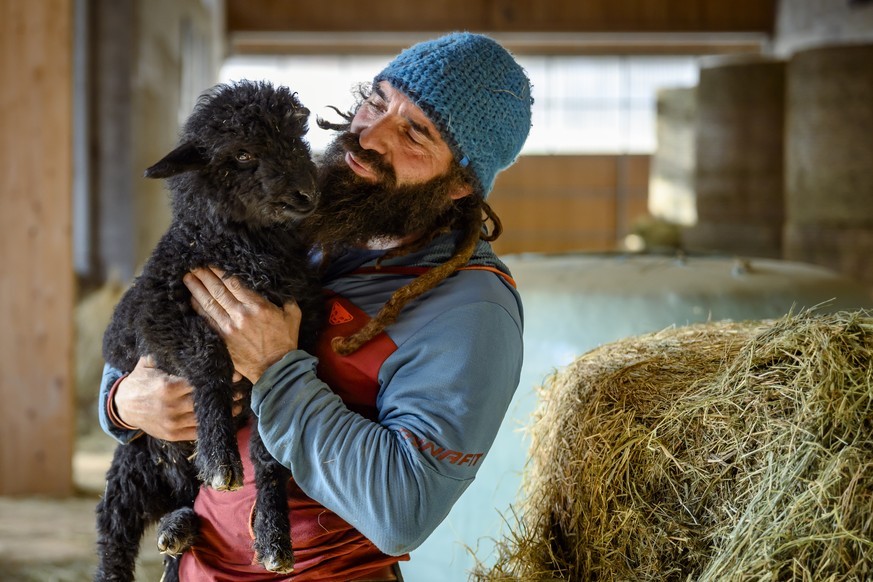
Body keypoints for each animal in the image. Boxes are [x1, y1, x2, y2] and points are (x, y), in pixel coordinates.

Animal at [93, 81, 324, 582]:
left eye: (296, 138)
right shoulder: (152, 312)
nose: (306, 193)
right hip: (131, 463)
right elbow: (208, 352)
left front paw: (275, 539)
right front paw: (219, 457)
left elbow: (270, 451)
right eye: (241, 153)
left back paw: (177, 529)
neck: (241, 250)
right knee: (113, 541)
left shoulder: (295, 336)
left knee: (178, 520)